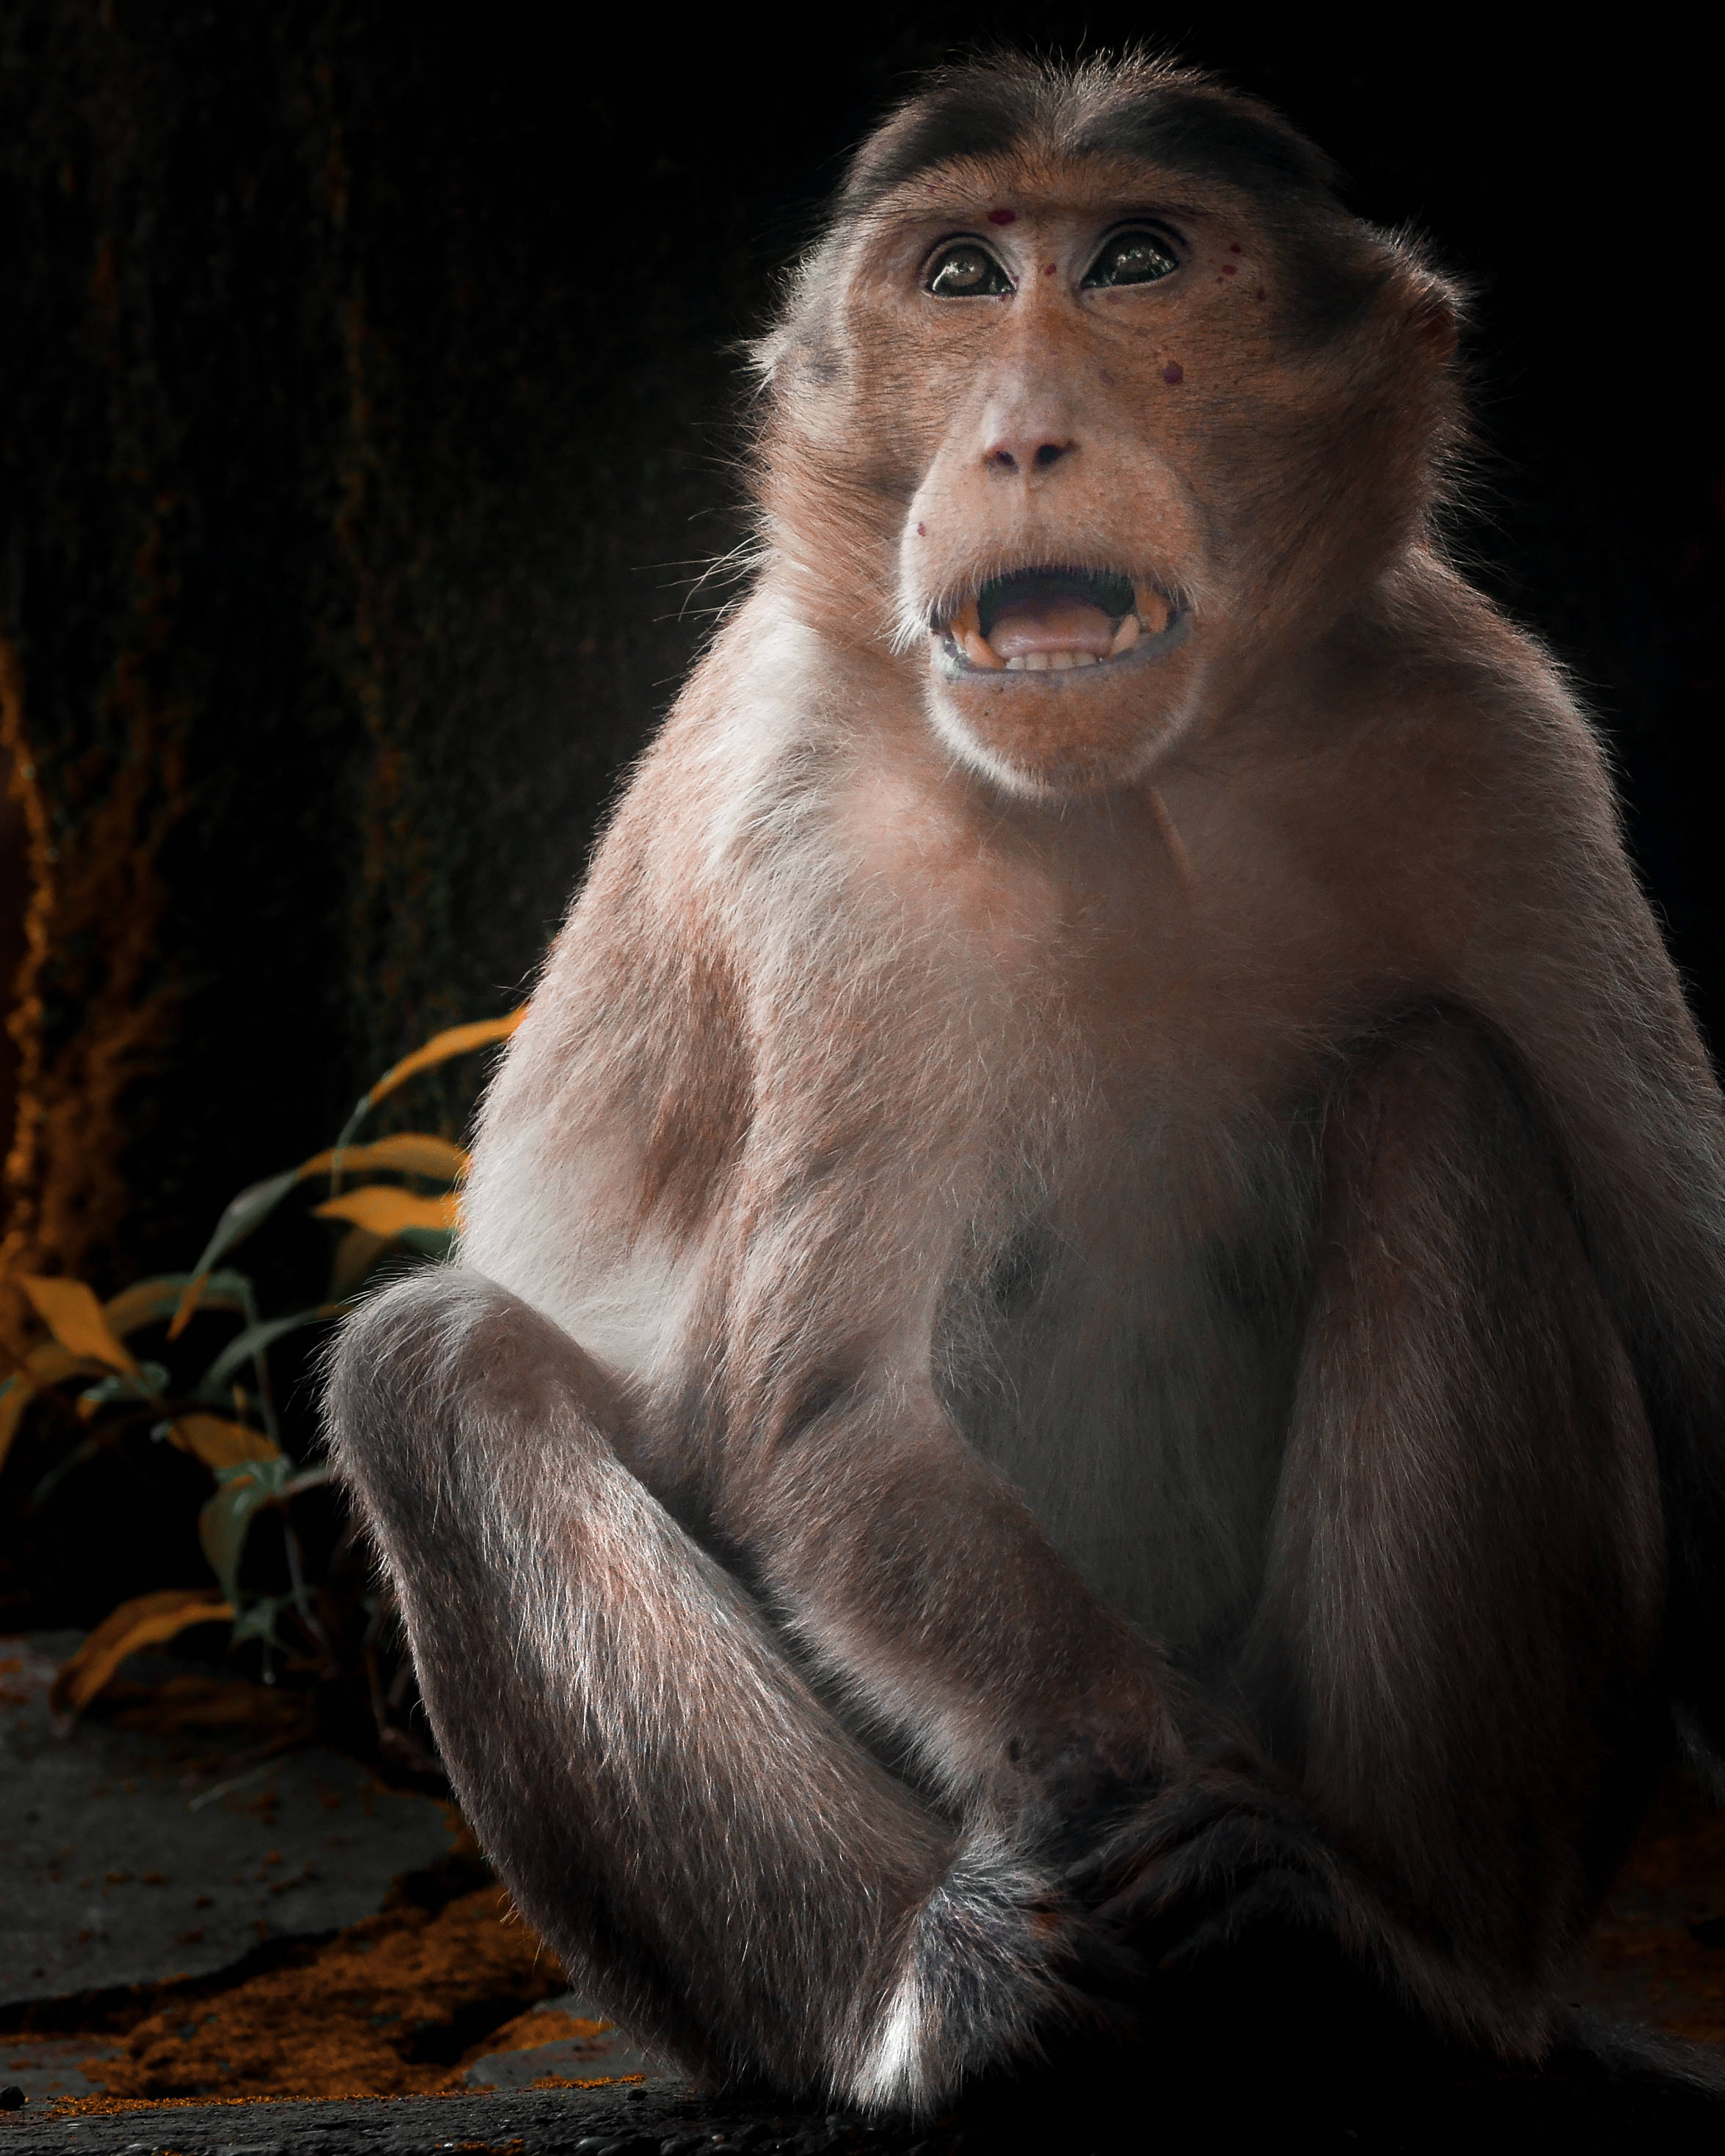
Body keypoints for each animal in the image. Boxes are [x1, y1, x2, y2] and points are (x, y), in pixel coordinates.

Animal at [326, 51, 1725, 2118]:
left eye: (1132, 262)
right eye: (962, 276)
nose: (1016, 440)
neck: (1135, 789)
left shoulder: (1489, 742)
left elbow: (1697, 1339)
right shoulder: (815, 822)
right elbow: (824, 1413)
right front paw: (1113, 1813)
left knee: (1438, 1103)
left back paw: (1401, 1958)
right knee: (427, 1373)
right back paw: (938, 1989)